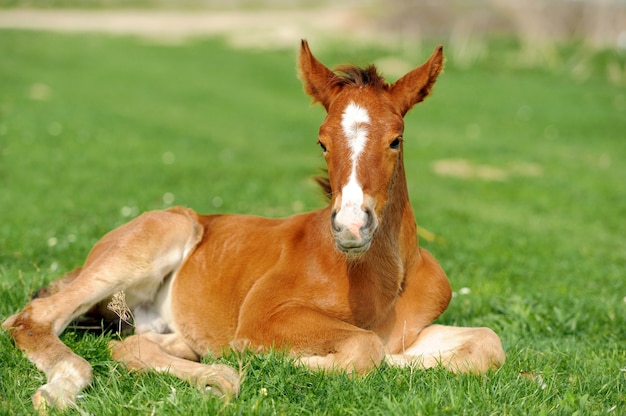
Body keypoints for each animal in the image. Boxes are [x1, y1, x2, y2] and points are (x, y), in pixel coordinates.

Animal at [3, 40, 502, 412]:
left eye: (396, 140)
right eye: (322, 142)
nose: (351, 228)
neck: (383, 279)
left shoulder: (416, 328)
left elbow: (488, 344)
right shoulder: (265, 315)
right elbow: (365, 349)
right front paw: (267, 360)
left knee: (132, 345)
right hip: (157, 238)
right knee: (32, 317)